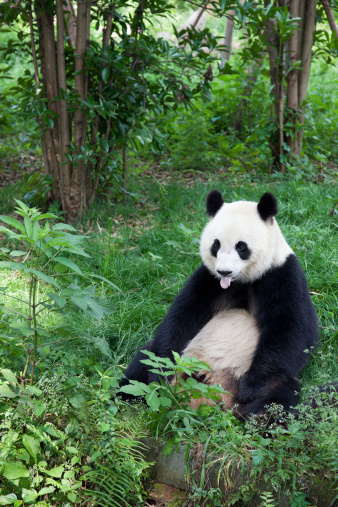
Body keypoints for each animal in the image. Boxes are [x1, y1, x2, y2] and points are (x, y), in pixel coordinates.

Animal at [121, 192, 320, 418]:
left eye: (241, 247)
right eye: (216, 245)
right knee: (144, 358)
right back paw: (128, 398)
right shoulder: (208, 280)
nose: (224, 271)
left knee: (280, 396)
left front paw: (252, 388)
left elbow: (291, 331)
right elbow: (180, 320)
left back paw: (258, 417)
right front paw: (162, 375)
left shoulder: (281, 274)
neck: (241, 281)